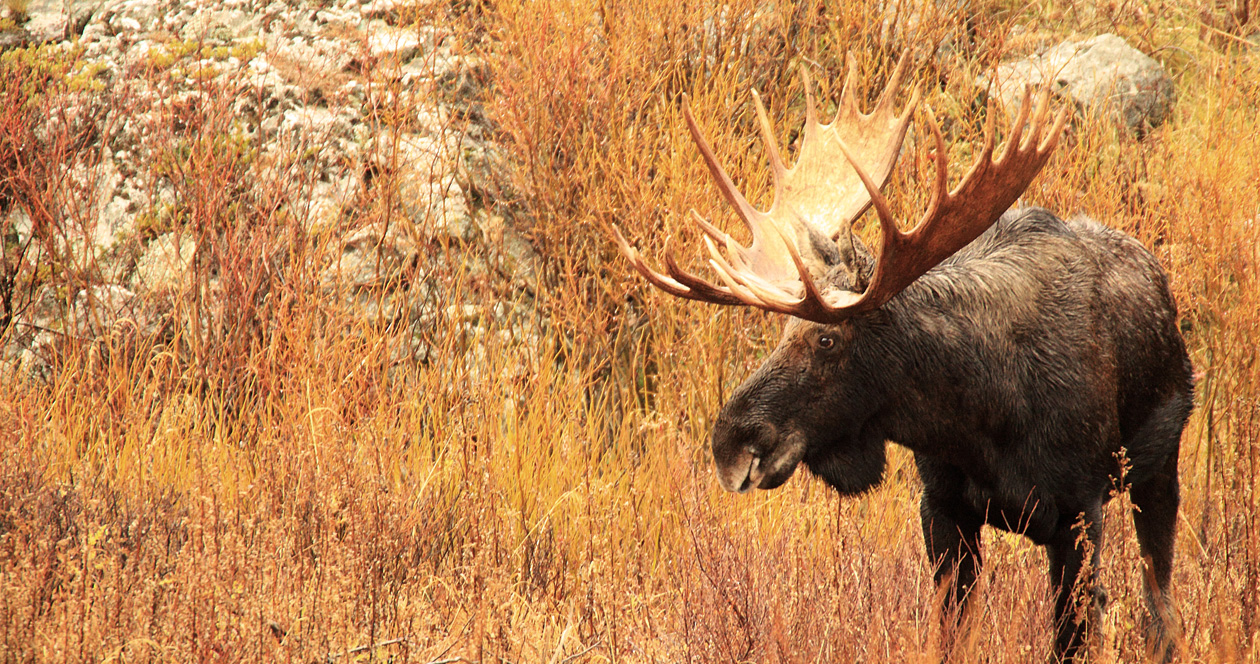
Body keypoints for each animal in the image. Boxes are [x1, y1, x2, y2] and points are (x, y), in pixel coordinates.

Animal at [613, 52, 1193, 662]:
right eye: (783, 329)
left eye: (828, 339)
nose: (731, 444)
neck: (984, 419)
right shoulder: (941, 508)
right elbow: (950, 633)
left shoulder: (1080, 510)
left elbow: (1074, 635)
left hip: (1161, 463)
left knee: (1160, 603)